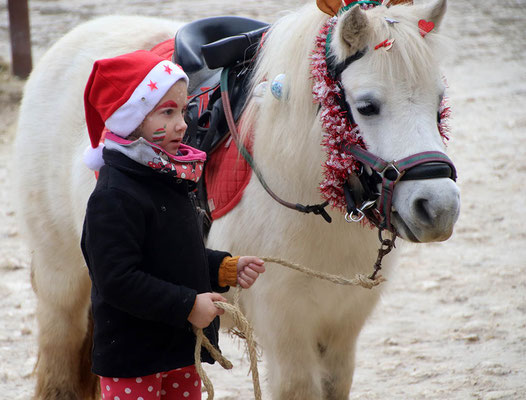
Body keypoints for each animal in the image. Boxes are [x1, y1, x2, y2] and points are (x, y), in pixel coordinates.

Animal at [13, 1, 462, 398]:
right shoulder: (286, 330)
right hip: (61, 277)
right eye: (367, 106)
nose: (439, 209)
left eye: (439, 101)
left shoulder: (340, 330)